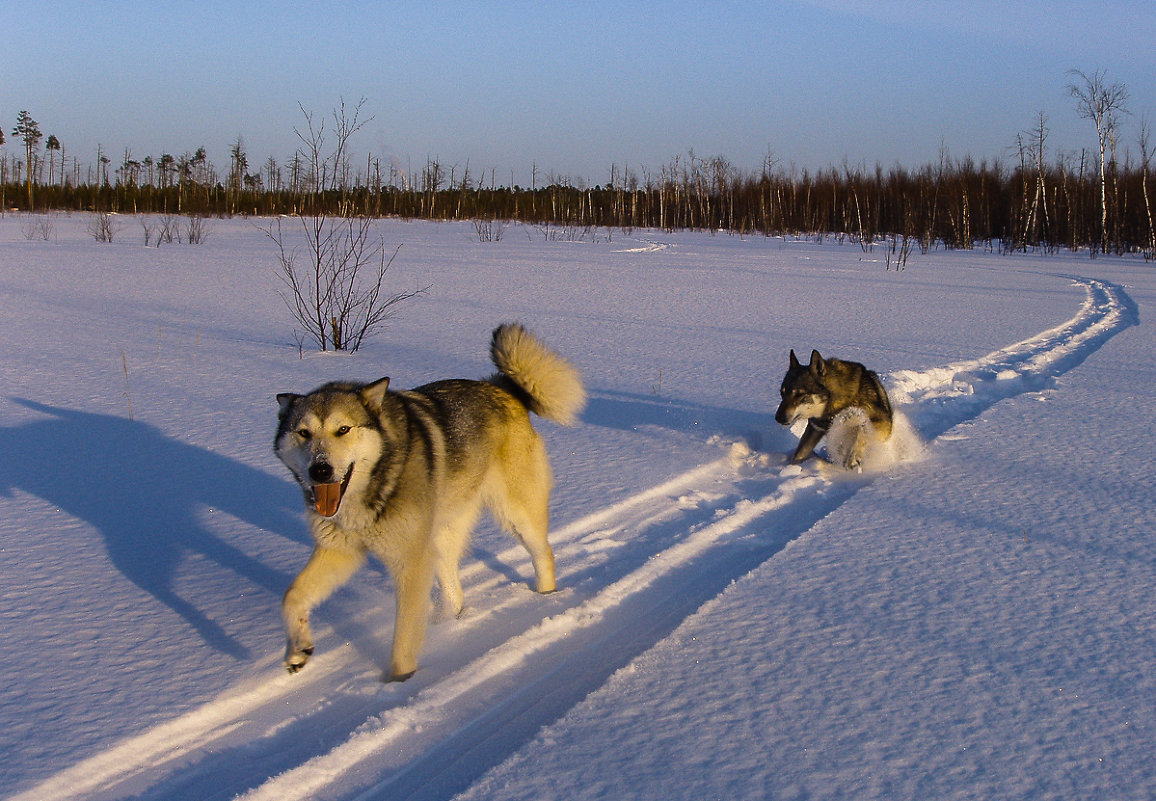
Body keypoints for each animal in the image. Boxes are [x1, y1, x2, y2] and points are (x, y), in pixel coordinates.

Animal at [275, 325, 587, 679]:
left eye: (343, 429)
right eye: (303, 433)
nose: (320, 470)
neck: (374, 485)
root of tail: (499, 387)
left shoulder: (411, 562)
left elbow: (403, 638)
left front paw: (400, 682)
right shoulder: (339, 550)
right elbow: (292, 596)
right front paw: (297, 650)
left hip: (517, 516)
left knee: (544, 555)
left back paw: (546, 601)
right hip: (442, 535)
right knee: (454, 586)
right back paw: (459, 622)